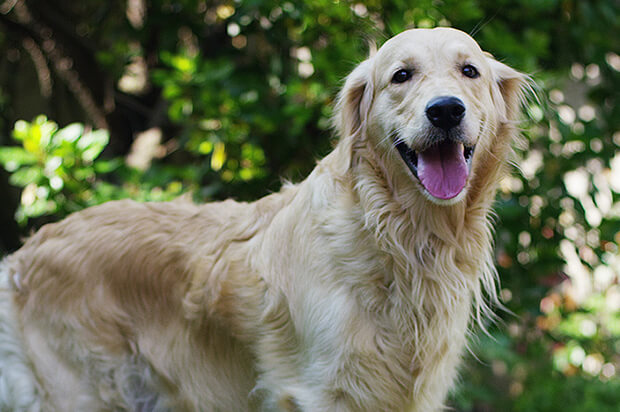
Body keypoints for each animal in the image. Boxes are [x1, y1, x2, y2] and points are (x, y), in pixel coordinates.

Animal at [0, 27, 524, 410]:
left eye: (469, 71)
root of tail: (25, 254)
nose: (445, 110)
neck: (395, 234)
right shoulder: (321, 392)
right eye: (401, 76)